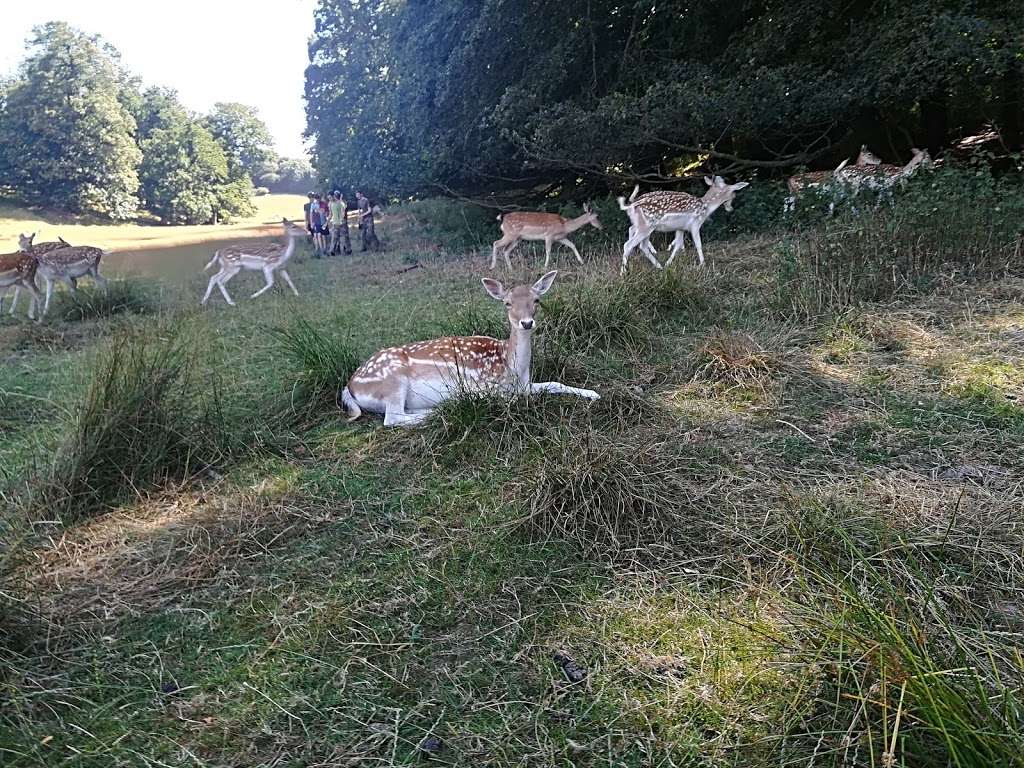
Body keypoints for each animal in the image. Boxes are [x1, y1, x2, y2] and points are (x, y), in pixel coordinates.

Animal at [342, 270, 598, 428]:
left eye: (536, 300)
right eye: (507, 303)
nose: (526, 323)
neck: (511, 367)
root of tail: (350, 386)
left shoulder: (525, 384)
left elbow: (554, 383)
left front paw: (593, 393)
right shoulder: (483, 386)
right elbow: (508, 398)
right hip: (393, 381)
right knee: (392, 417)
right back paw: (441, 409)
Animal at [614, 176, 753, 274]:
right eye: (733, 193)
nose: (730, 208)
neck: (705, 207)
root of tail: (630, 205)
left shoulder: (680, 228)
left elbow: (678, 245)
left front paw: (669, 263)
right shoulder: (695, 224)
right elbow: (698, 244)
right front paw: (703, 265)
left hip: (645, 227)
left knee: (640, 242)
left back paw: (659, 266)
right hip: (645, 227)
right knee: (628, 244)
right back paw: (623, 272)